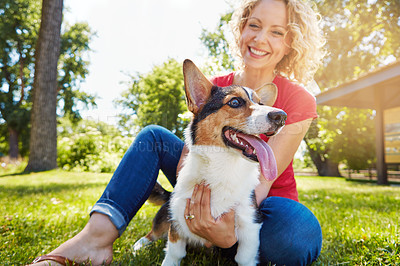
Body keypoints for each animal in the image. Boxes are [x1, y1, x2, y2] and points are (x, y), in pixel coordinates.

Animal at [136, 60, 286, 266]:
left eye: (261, 103)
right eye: (235, 102)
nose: (281, 116)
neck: (223, 165)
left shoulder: (249, 223)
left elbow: (245, 257)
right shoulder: (177, 219)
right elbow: (174, 254)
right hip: (166, 213)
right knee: (153, 232)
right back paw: (138, 246)